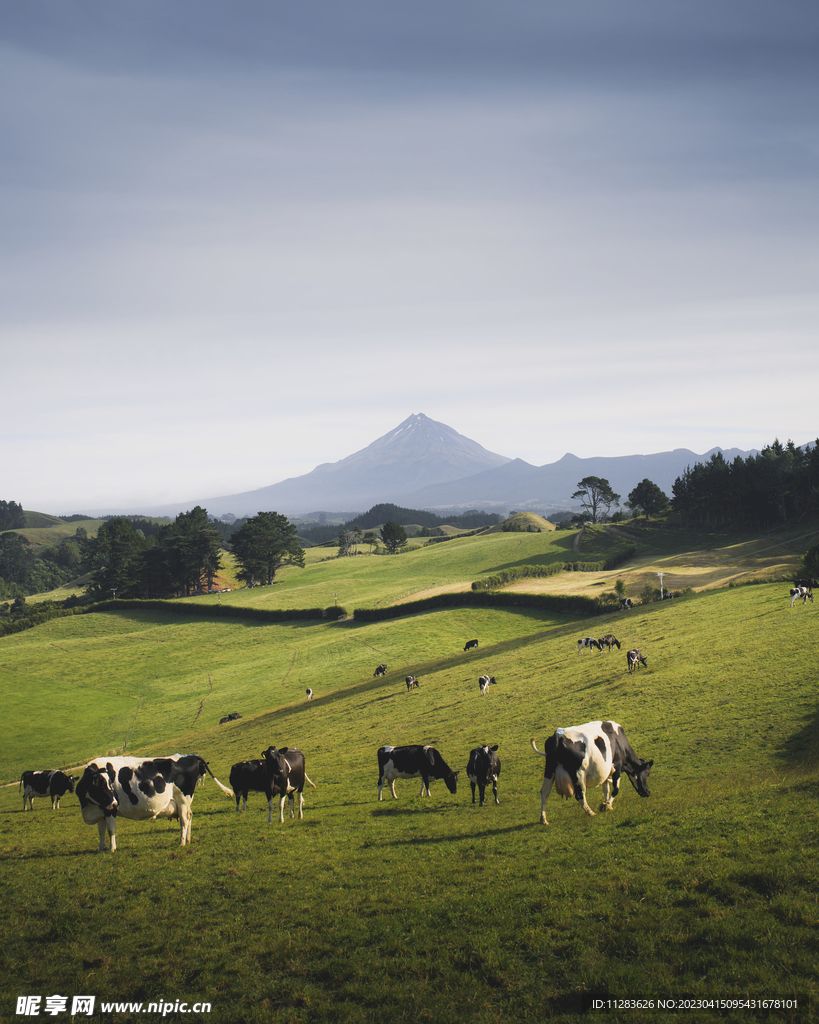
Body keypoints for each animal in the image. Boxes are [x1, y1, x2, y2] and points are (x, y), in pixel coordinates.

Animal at [75, 749, 233, 851]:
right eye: (101, 785)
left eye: (109, 784)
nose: (114, 802)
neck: (88, 807)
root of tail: (188, 756)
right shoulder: (100, 809)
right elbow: (101, 831)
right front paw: (100, 849)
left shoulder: (109, 810)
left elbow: (110, 830)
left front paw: (111, 849)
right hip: (185, 801)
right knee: (189, 816)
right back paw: (188, 839)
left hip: (182, 799)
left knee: (184, 820)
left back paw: (182, 842)